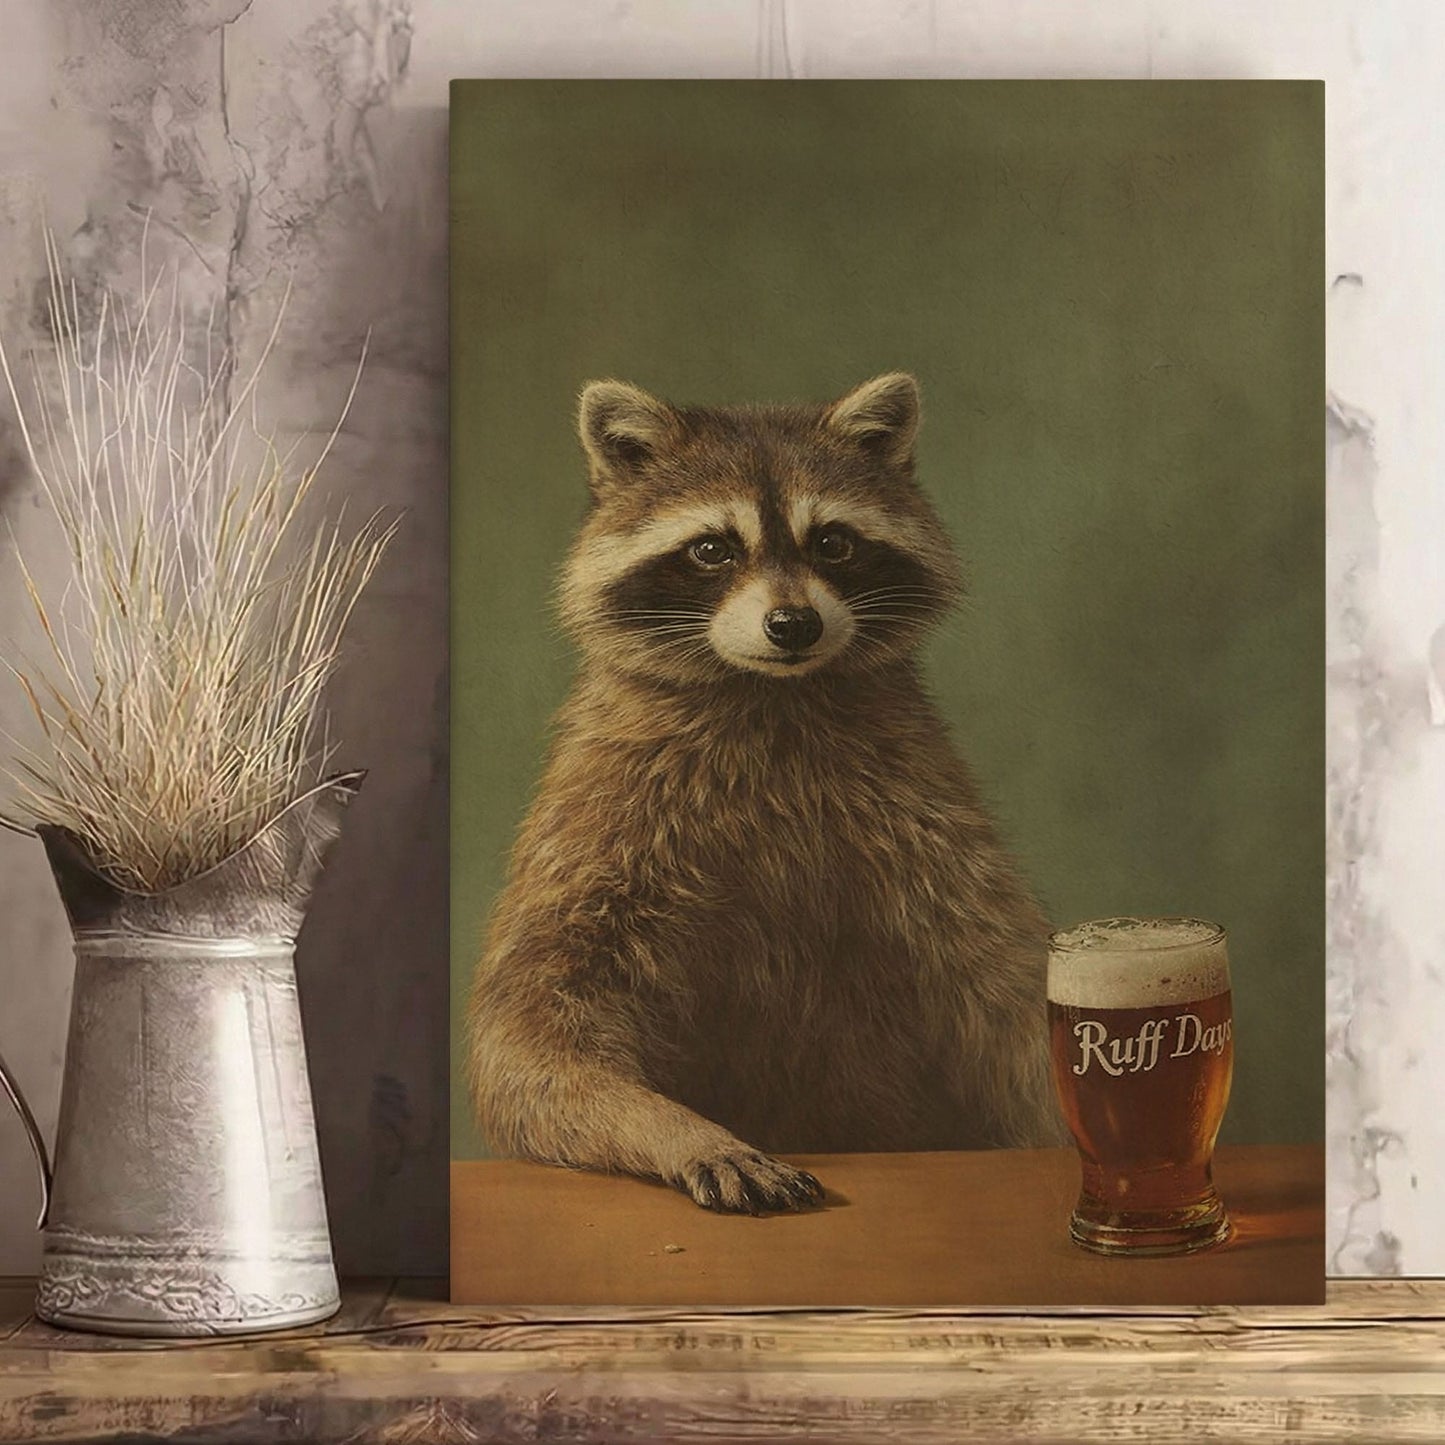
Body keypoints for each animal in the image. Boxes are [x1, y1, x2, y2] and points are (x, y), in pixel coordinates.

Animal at [467, 373, 1061, 1214]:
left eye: (832, 542)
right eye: (712, 549)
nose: (793, 623)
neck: (771, 694)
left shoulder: (930, 818)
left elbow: (1009, 990)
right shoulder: (598, 817)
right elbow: (529, 1034)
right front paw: (682, 1129)